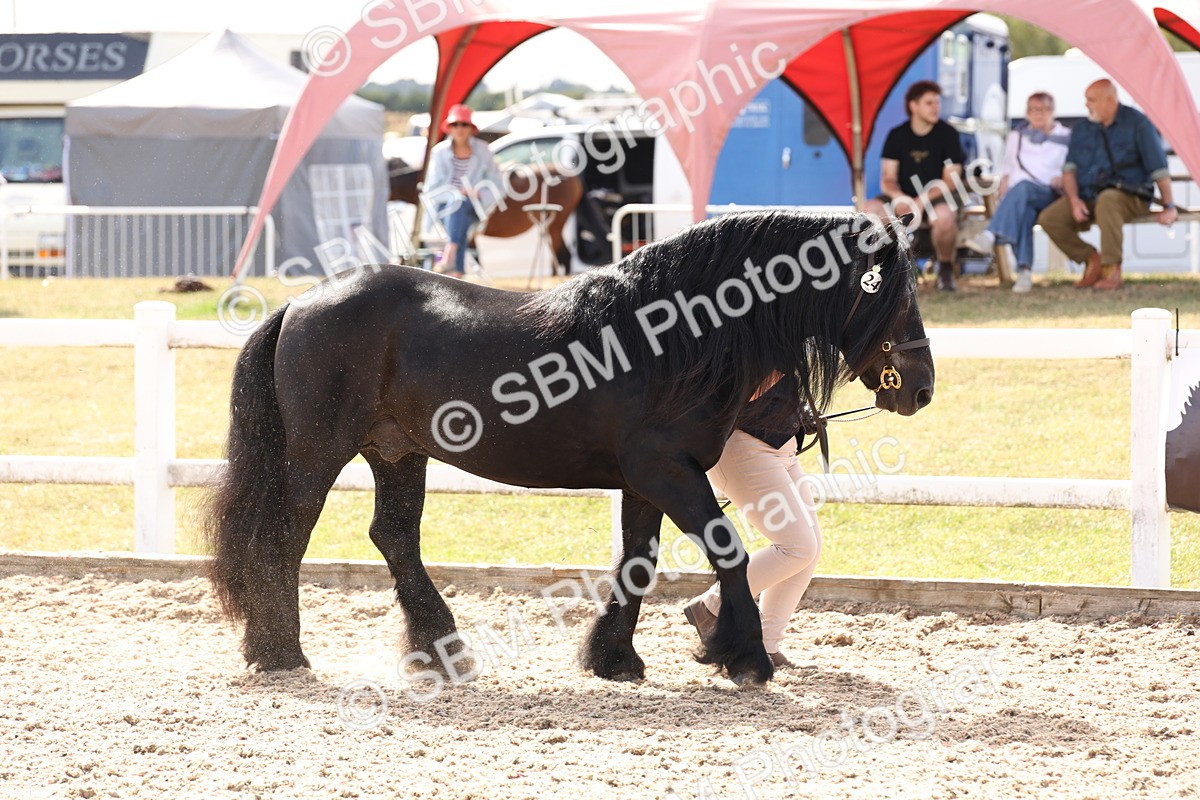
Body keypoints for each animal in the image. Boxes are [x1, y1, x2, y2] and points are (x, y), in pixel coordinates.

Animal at [205, 210, 935, 685]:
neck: (673, 337)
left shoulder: (646, 481)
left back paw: (441, 652)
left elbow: (638, 561)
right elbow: (725, 549)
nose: (922, 387)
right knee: (285, 537)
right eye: (893, 295)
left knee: (394, 538)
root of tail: (300, 305)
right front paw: (743, 657)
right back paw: (279, 653)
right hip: (317, 454)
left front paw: (614, 659)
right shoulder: (666, 471)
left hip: (396, 453)